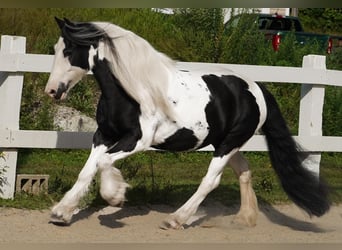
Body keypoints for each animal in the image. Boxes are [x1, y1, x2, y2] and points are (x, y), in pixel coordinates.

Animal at [44, 17, 330, 229]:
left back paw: (176, 219)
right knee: (244, 171)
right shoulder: (103, 136)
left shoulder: (137, 140)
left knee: (211, 180)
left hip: (228, 144)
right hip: (226, 143)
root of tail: (256, 88)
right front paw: (61, 212)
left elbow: (103, 164)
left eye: (68, 51)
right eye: (55, 50)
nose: (52, 91)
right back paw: (244, 218)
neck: (131, 91)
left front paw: (115, 196)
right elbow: (87, 171)